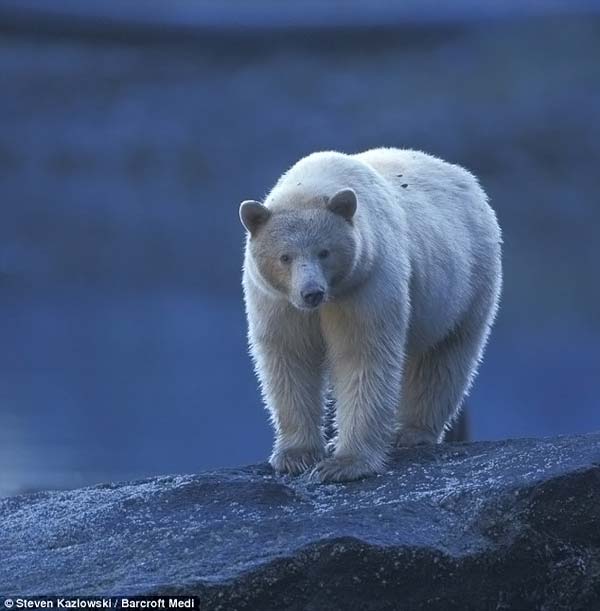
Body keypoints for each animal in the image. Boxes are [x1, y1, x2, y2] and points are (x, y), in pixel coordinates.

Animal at [239, 148, 502, 482]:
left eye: (324, 252)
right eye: (285, 257)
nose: (312, 293)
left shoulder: (366, 282)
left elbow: (362, 355)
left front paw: (344, 463)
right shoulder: (278, 301)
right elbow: (290, 356)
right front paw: (296, 456)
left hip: (466, 285)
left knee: (442, 360)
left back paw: (411, 432)